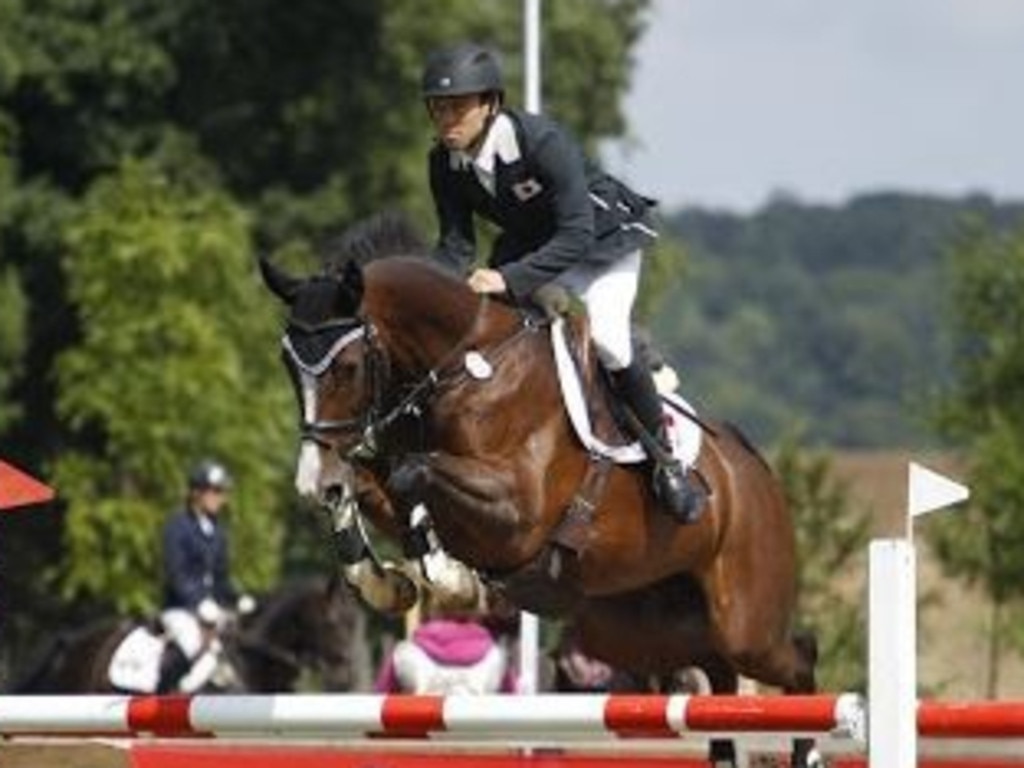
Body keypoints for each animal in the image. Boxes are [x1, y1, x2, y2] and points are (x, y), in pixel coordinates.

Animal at [260, 215, 819, 768]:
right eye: (287, 366)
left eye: (347, 367)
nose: (313, 479)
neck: (466, 366)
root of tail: (756, 469)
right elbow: (373, 486)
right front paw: (381, 577)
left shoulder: (517, 513)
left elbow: (413, 474)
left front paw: (449, 576)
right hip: (638, 631)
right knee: (717, 674)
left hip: (746, 625)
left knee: (799, 657)